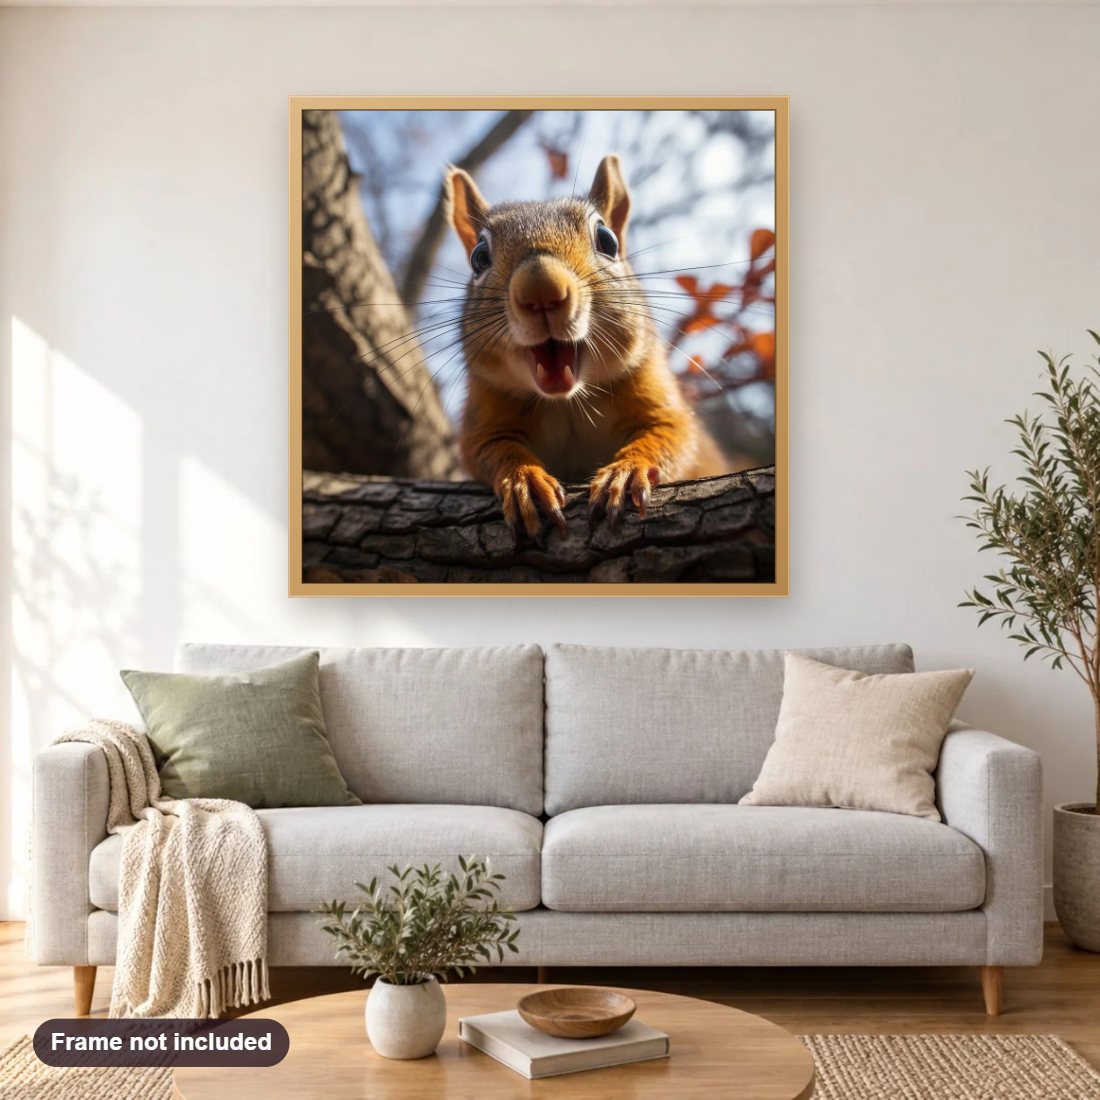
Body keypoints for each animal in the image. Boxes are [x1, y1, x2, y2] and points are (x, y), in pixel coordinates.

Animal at [444, 154, 732, 538]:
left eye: (607, 241)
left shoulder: (655, 394)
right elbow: (490, 448)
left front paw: (626, 472)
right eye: (479, 257)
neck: (568, 404)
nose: (541, 289)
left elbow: (673, 434)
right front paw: (524, 481)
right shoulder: (485, 413)